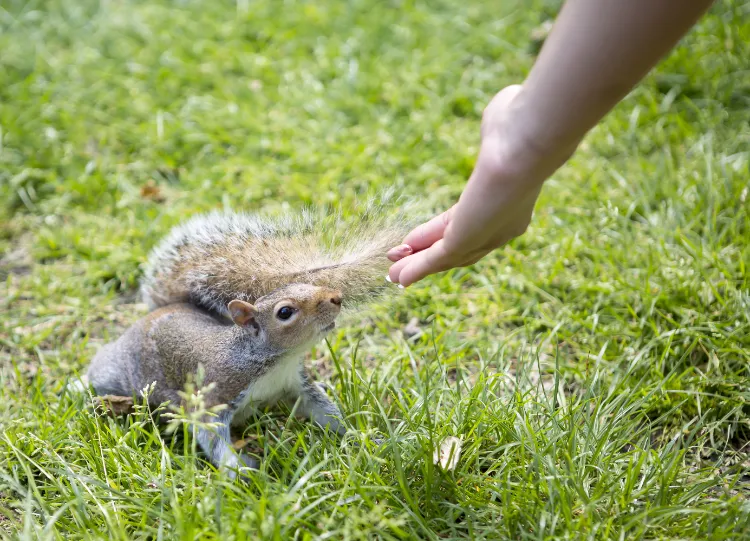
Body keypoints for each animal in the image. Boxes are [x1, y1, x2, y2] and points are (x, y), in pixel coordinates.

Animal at [87, 282, 346, 476]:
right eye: (285, 312)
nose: (337, 297)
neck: (275, 362)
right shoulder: (214, 393)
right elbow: (210, 435)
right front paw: (240, 470)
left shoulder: (295, 384)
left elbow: (322, 409)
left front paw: (351, 433)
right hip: (116, 371)